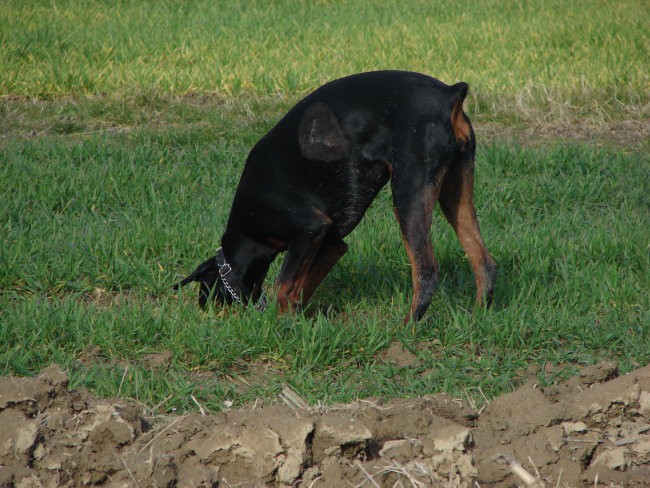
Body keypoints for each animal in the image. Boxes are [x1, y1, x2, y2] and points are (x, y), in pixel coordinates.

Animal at [175, 69, 494, 320]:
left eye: (205, 290)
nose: (204, 311)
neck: (250, 234)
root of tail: (448, 93)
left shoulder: (310, 228)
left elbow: (282, 286)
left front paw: (281, 325)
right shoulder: (330, 242)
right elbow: (298, 287)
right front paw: (298, 320)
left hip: (409, 191)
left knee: (426, 271)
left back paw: (406, 327)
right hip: (455, 189)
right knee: (484, 261)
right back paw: (478, 317)